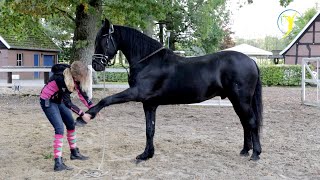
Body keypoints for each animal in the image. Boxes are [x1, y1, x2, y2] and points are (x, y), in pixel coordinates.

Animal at [87, 19, 262, 161]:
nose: (96, 65)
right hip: (237, 101)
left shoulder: (136, 93)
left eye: (102, 40)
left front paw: (89, 114)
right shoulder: (149, 104)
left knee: (251, 122)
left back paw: (255, 154)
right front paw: (146, 155)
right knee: (245, 123)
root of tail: (251, 60)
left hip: (241, 100)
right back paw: (245, 150)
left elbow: (107, 99)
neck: (149, 62)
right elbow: (150, 129)